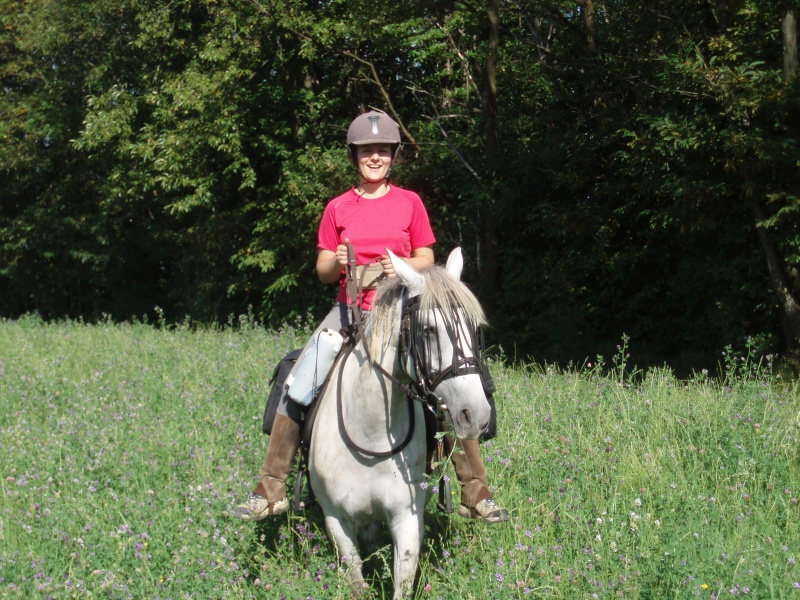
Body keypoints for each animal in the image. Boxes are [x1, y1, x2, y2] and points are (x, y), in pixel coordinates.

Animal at [308, 246, 490, 596]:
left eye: (473, 328)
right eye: (428, 330)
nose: (476, 414)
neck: (369, 434)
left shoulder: (406, 518)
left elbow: (402, 582)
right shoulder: (336, 521)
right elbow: (356, 582)